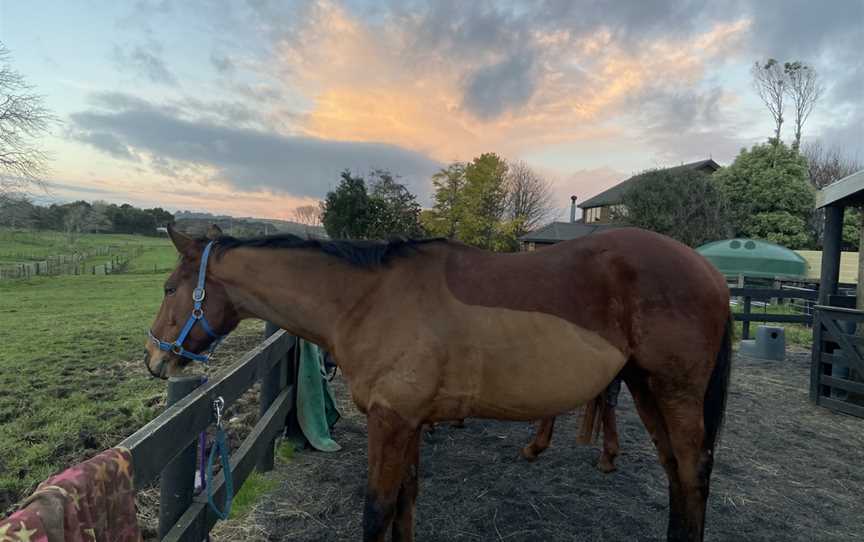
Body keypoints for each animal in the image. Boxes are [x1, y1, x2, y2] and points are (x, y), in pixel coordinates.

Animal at [145, 223, 732, 540]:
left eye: (171, 287)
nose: (154, 359)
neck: (367, 300)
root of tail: (711, 272)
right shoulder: (409, 424)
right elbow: (405, 503)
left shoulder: (390, 422)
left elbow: (376, 511)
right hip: (646, 388)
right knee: (676, 473)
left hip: (674, 391)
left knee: (692, 471)